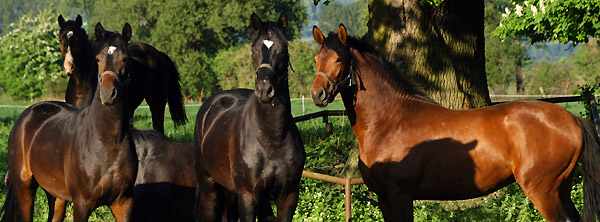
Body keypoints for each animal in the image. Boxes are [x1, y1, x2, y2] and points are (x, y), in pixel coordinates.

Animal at [0, 21, 138, 221]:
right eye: (97, 59)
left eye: (125, 59)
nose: (108, 93)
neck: (107, 143)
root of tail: (26, 115)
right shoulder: (82, 203)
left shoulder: (124, 203)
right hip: (25, 186)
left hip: (56, 195)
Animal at [58, 14, 188, 133]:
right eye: (60, 39)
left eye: (78, 40)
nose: (69, 66)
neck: (81, 87)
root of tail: (159, 54)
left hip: (157, 104)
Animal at [193, 13, 304, 221]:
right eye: (253, 49)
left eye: (283, 48)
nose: (264, 90)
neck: (271, 138)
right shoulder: (247, 195)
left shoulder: (288, 196)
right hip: (209, 187)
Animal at [310, 23, 600, 221]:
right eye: (316, 59)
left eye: (339, 58)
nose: (317, 94)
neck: (391, 120)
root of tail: (571, 119)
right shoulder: (384, 198)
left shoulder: (399, 195)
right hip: (561, 189)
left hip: (543, 191)